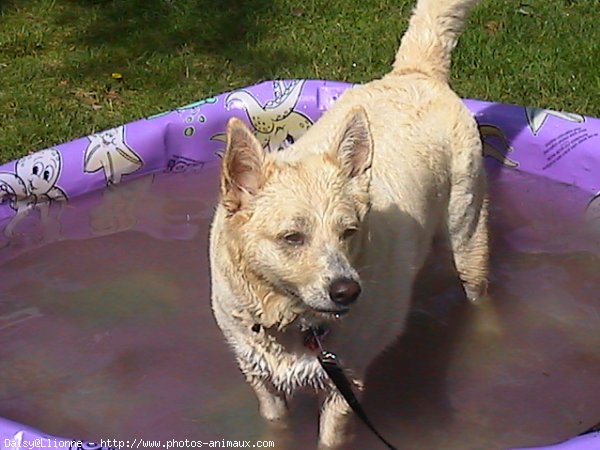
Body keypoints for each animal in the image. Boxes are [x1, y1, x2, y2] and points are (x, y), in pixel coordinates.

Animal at [210, 0, 488, 446]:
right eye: (292, 237)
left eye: (348, 232)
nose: (348, 291)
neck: (292, 323)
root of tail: (413, 74)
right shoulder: (261, 379)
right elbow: (275, 424)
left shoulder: (346, 385)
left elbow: (330, 438)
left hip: (467, 233)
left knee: (478, 292)